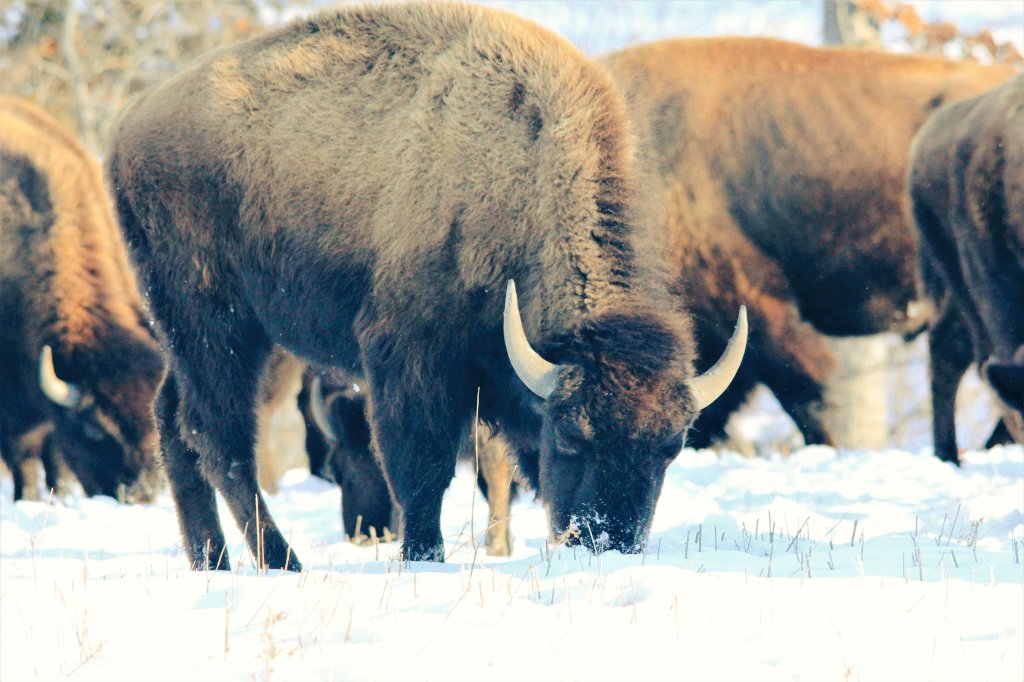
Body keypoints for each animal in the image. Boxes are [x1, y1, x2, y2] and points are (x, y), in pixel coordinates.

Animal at [0, 97, 165, 502]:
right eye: (95, 428)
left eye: (152, 421)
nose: (141, 494)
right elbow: (23, 453)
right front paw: (28, 499)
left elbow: (53, 454)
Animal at [107, 3, 746, 569]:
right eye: (571, 434)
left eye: (671, 446)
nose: (609, 544)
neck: (523, 174)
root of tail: (128, 127)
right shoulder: (410, 358)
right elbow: (423, 470)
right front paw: (424, 557)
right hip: (216, 323)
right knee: (218, 437)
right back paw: (283, 564)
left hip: (195, 336)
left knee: (174, 422)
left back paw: (210, 562)